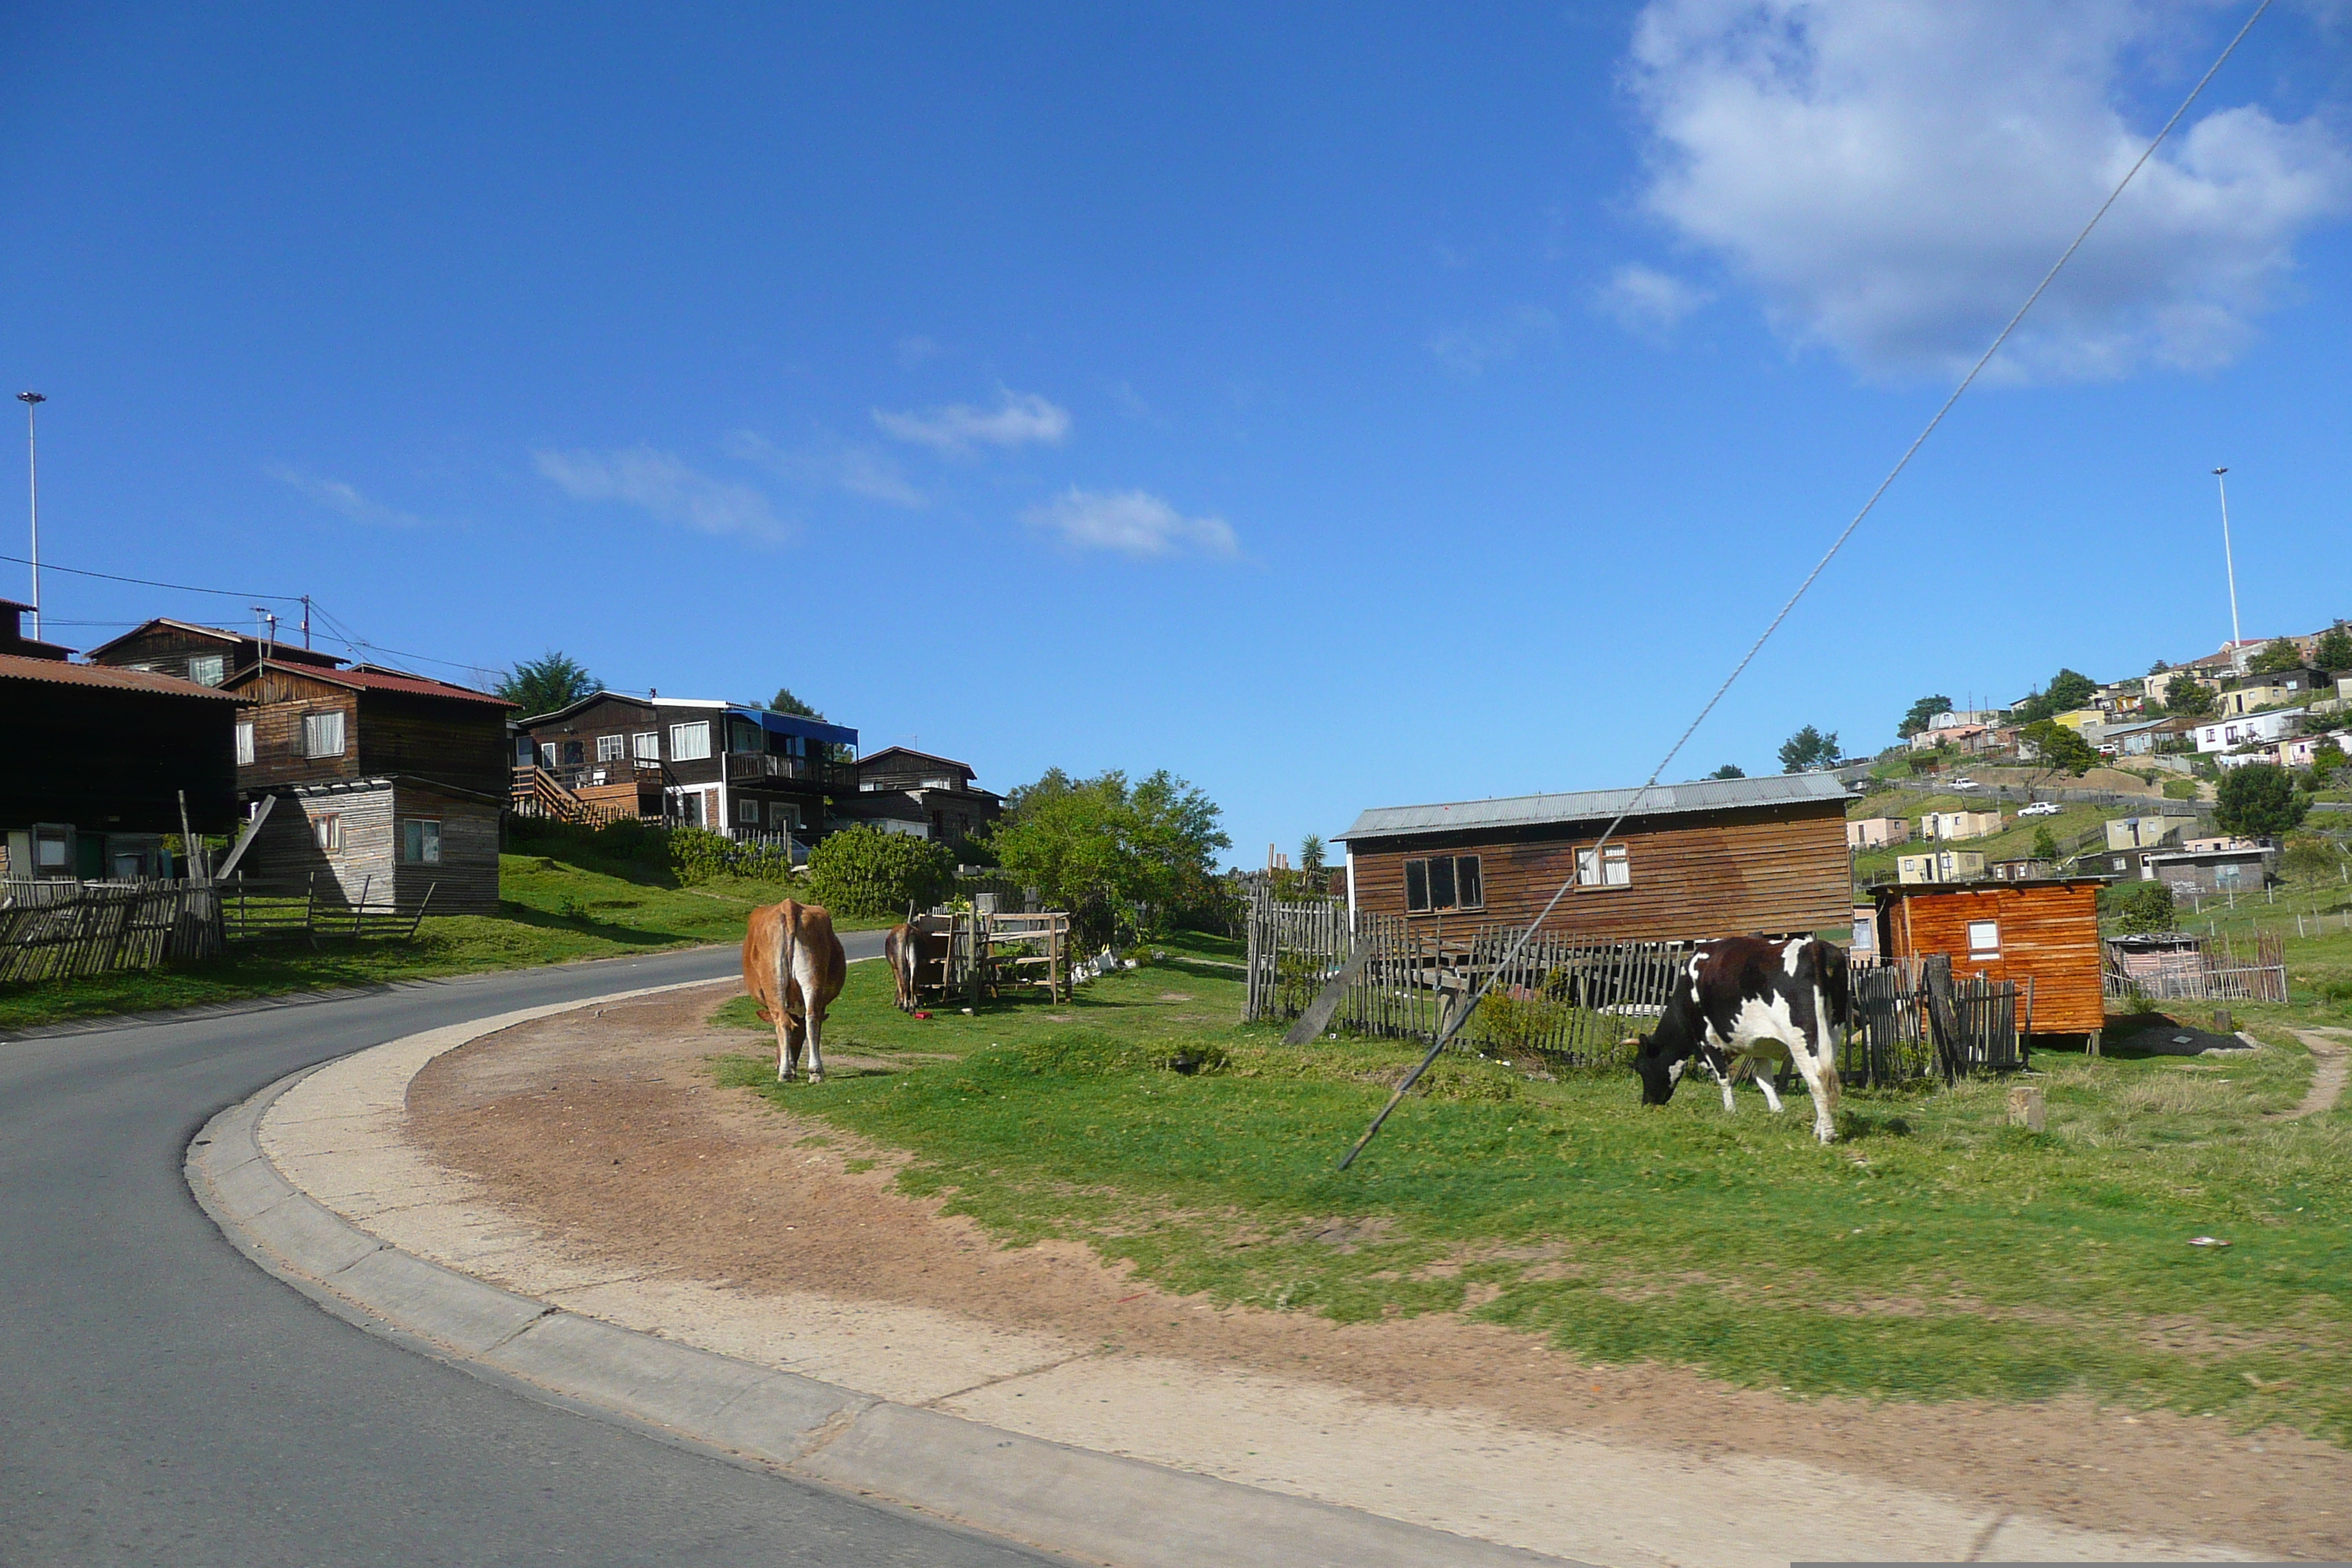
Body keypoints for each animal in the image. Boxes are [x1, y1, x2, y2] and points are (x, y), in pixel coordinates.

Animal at [738, 902, 851, 1086]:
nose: (776, 1064)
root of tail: (789, 905)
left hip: (774, 984)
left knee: (783, 1021)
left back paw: (785, 1073)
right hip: (812, 978)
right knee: (812, 1019)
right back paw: (815, 1072)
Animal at [1627, 940, 1844, 1147]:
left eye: (1641, 1067)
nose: (1647, 1104)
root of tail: (1814, 946)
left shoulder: (1708, 1040)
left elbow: (1723, 1077)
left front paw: (1731, 1111)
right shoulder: (1759, 1046)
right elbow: (1764, 1080)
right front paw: (1777, 1111)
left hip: (1802, 1039)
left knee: (1817, 1083)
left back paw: (1827, 1136)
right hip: (1832, 1034)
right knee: (1828, 1078)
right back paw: (1819, 1130)